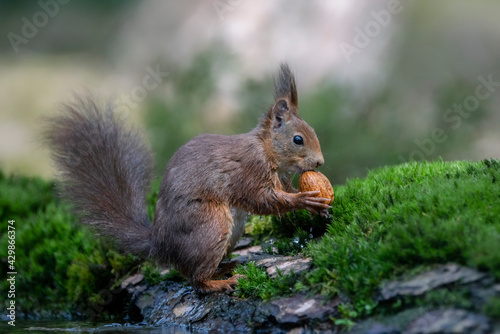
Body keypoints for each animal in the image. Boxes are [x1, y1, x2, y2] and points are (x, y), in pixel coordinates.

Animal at [45, 62, 330, 292]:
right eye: (298, 140)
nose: (320, 162)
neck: (267, 149)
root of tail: (159, 244)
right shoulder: (250, 171)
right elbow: (262, 199)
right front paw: (305, 201)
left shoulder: (280, 177)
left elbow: (283, 193)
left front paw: (315, 206)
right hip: (211, 225)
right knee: (196, 280)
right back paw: (222, 282)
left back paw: (224, 268)